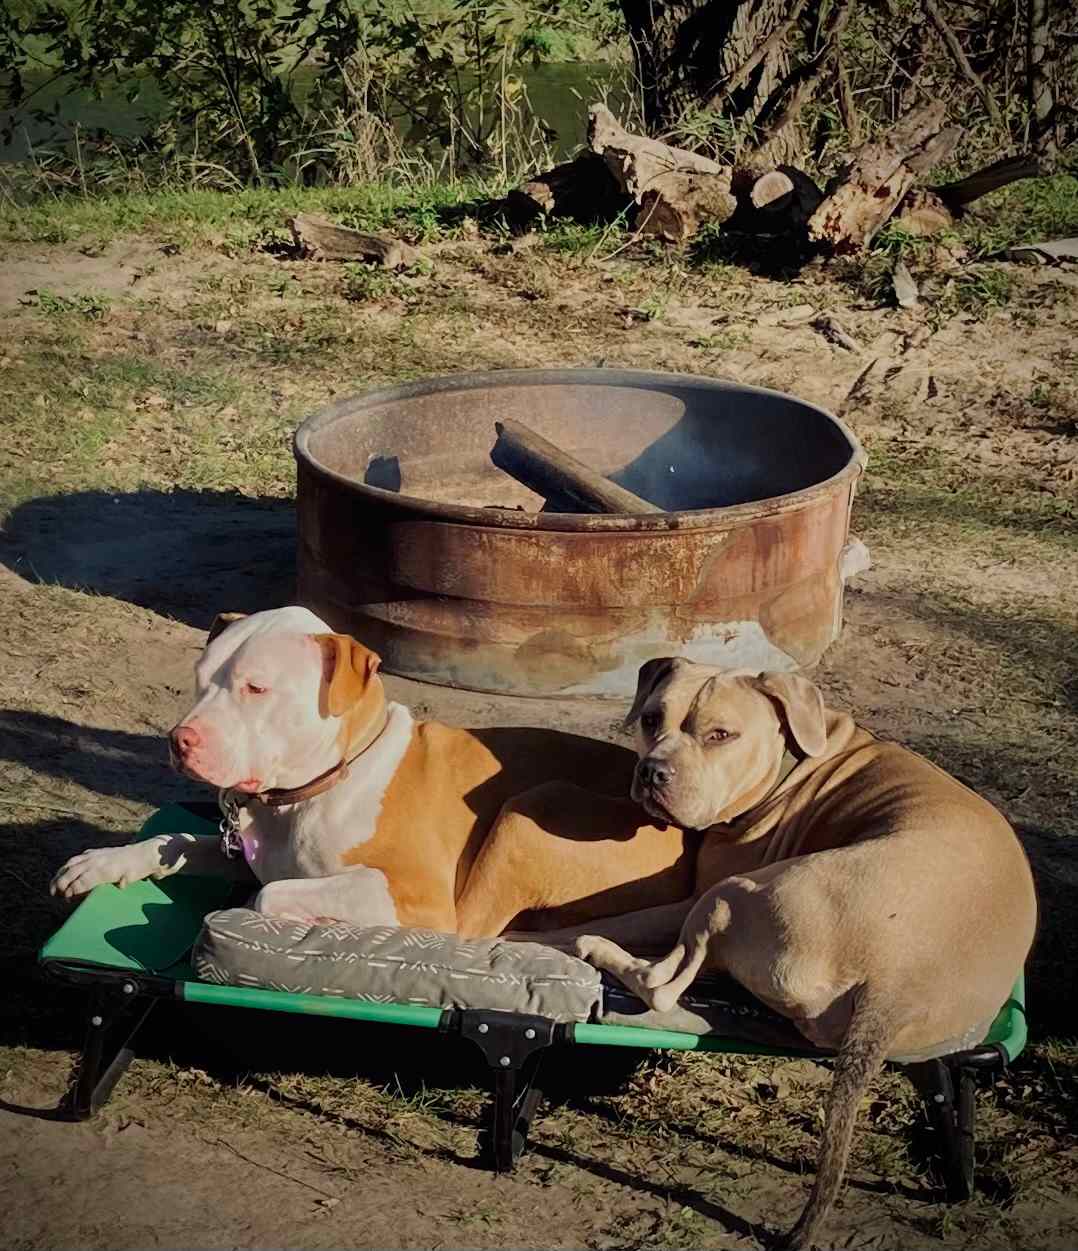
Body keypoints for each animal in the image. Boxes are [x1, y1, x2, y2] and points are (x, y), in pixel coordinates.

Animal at [50, 600, 695, 935]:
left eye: (256, 687)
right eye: (200, 678)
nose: (180, 739)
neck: (311, 792)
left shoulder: (413, 895)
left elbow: (269, 893)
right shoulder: (244, 846)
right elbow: (180, 838)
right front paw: (104, 862)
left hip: (530, 810)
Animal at [565, 660, 1040, 1245]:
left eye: (720, 735)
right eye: (652, 719)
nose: (653, 772)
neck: (791, 763)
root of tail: (899, 984)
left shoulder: (691, 898)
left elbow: (610, 918)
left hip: (726, 897)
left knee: (660, 987)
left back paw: (598, 949)